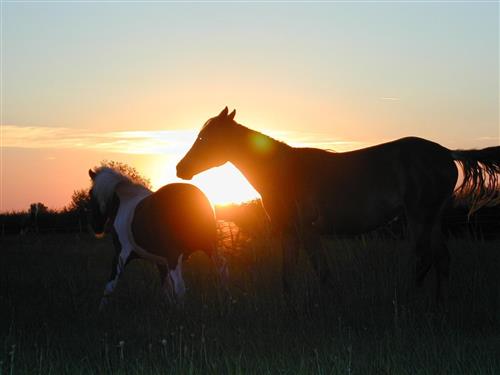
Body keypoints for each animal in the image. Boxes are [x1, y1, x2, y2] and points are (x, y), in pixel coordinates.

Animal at [88, 169, 229, 310]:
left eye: (90, 194)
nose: (96, 228)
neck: (125, 202)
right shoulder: (161, 261)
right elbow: (166, 288)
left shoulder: (121, 254)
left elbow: (110, 285)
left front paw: (101, 309)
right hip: (210, 247)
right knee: (221, 271)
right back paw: (224, 301)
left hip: (175, 256)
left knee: (180, 286)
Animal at [178, 107, 500, 302]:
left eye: (205, 138)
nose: (181, 169)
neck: (284, 171)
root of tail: (447, 152)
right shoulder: (289, 233)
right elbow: (287, 275)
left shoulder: (307, 231)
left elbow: (322, 272)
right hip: (432, 220)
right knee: (441, 259)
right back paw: (436, 305)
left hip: (419, 218)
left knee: (424, 259)